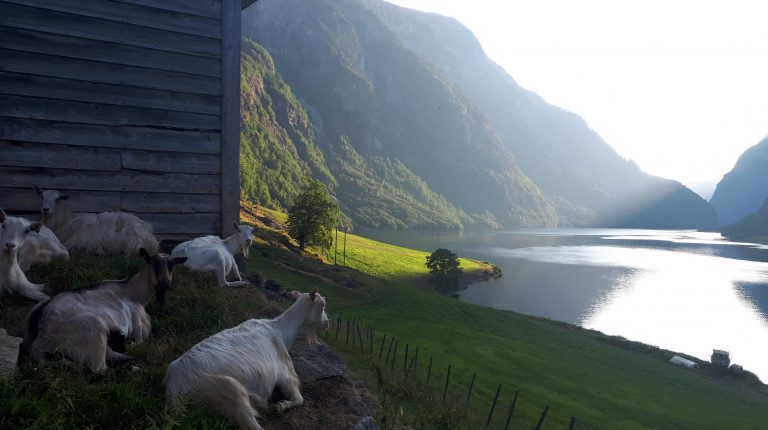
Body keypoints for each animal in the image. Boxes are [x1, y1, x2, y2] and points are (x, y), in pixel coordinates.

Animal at [18, 249, 187, 372]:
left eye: (172, 265)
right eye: (153, 263)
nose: (165, 283)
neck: (134, 292)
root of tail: (39, 340)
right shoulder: (139, 328)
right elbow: (137, 344)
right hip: (94, 330)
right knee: (100, 369)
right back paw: (132, 366)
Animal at [164, 288, 328, 430]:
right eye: (322, 304)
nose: (327, 323)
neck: (281, 330)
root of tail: (175, 389)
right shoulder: (285, 373)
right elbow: (299, 398)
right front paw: (280, 406)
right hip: (229, 391)